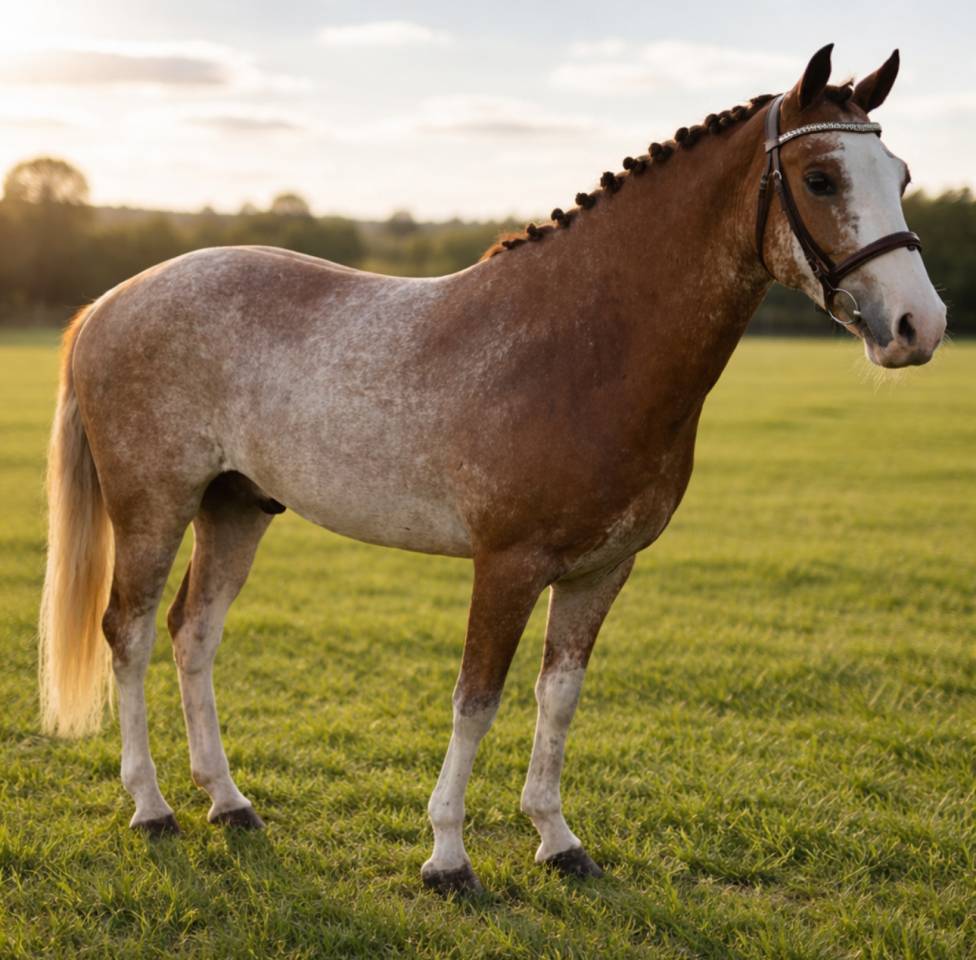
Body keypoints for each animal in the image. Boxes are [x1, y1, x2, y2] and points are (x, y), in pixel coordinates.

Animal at [38, 44, 945, 894]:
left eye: (900, 175)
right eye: (821, 177)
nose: (919, 325)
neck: (582, 345)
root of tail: (112, 301)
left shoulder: (603, 570)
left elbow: (558, 698)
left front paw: (558, 840)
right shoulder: (506, 566)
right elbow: (477, 700)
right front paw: (448, 859)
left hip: (233, 508)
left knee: (192, 634)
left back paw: (228, 802)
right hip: (154, 508)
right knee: (127, 633)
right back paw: (151, 808)